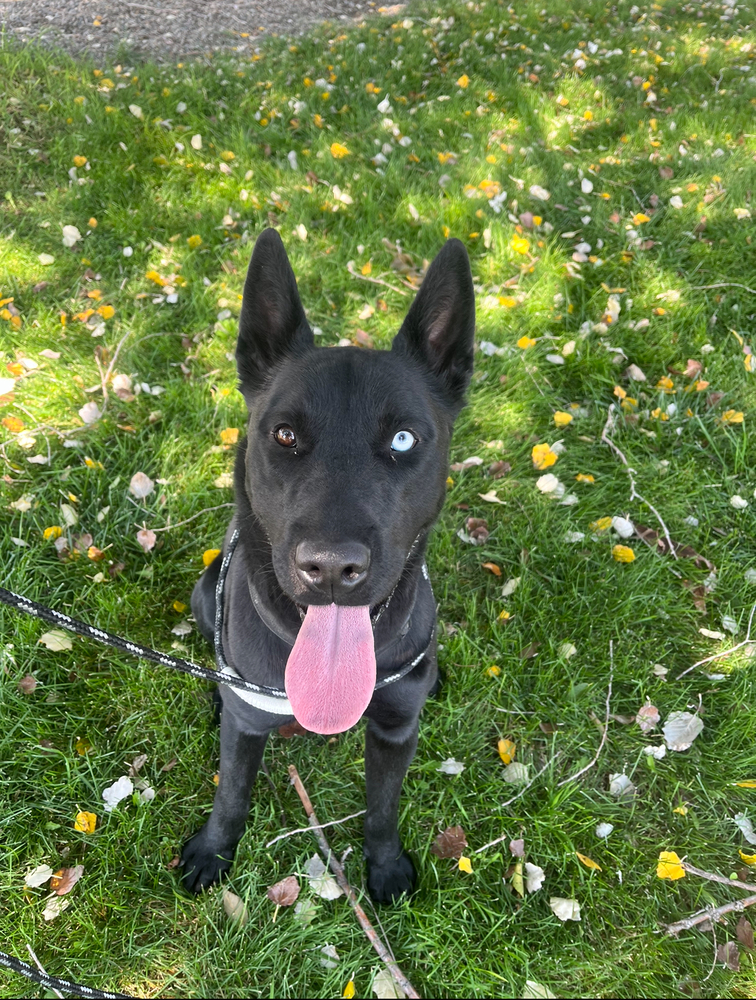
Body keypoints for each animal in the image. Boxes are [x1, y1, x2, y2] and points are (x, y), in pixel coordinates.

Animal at [181, 230, 472, 904]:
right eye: (285, 435)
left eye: (402, 440)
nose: (332, 568)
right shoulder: (248, 725)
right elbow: (231, 794)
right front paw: (213, 850)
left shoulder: (394, 730)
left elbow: (383, 808)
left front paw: (385, 867)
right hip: (205, 593)